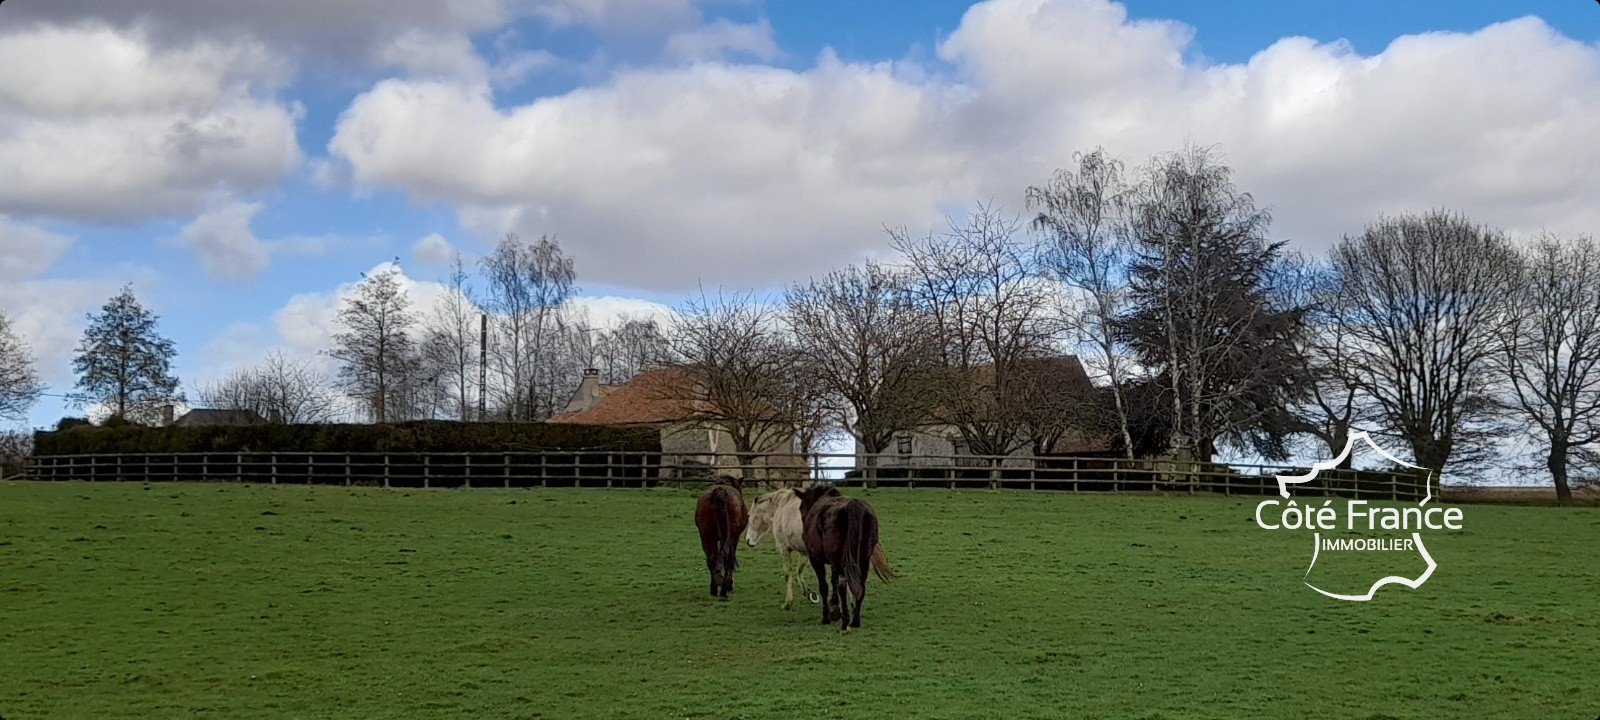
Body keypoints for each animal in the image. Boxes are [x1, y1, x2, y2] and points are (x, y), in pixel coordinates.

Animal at [793, 483, 896, 630]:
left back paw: (846, 620)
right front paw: (835, 608)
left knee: (842, 583)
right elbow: (833, 581)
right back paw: (855, 620)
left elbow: (824, 586)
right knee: (860, 585)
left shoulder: (816, 559)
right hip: (862, 559)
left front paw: (828, 616)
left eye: (801, 507)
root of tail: (853, 505)